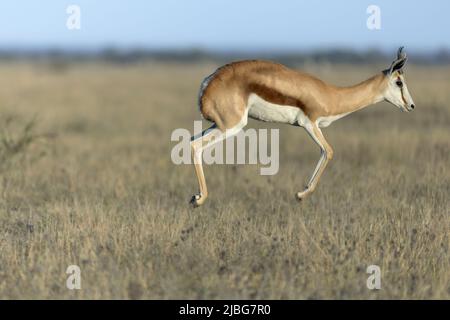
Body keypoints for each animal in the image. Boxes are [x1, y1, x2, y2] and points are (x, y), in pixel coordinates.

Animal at [190, 47, 414, 208]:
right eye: (399, 82)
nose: (411, 106)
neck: (331, 95)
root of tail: (208, 83)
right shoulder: (310, 124)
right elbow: (328, 151)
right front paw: (301, 194)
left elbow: (325, 152)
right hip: (232, 126)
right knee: (195, 146)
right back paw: (199, 199)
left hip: (218, 125)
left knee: (192, 141)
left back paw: (196, 196)